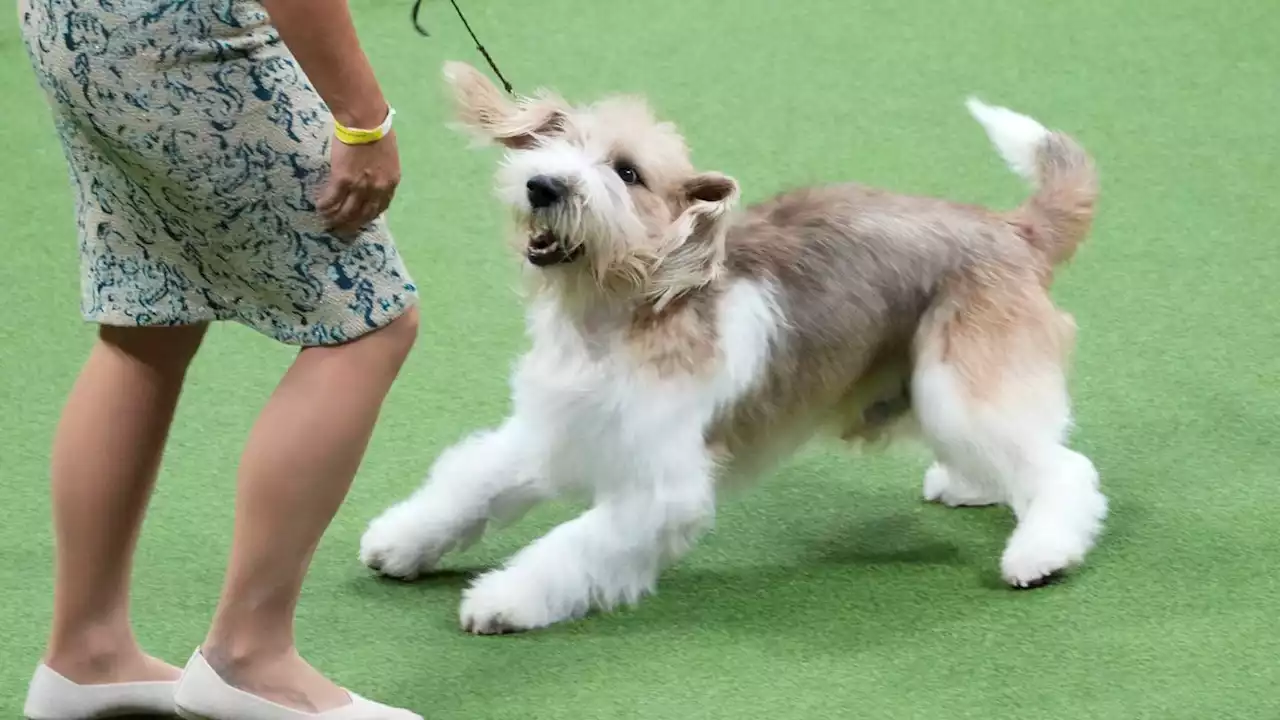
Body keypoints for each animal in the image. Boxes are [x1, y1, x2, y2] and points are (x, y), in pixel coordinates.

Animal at [360, 63, 1111, 632]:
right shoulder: (551, 432)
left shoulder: (660, 490)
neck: (616, 318)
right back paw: (972, 488)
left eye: (626, 173)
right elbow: (469, 484)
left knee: (1064, 469)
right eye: (553, 140)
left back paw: (1040, 553)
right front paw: (399, 541)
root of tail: (1013, 230)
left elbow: (570, 546)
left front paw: (502, 600)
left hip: (960, 384)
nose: (543, 185)